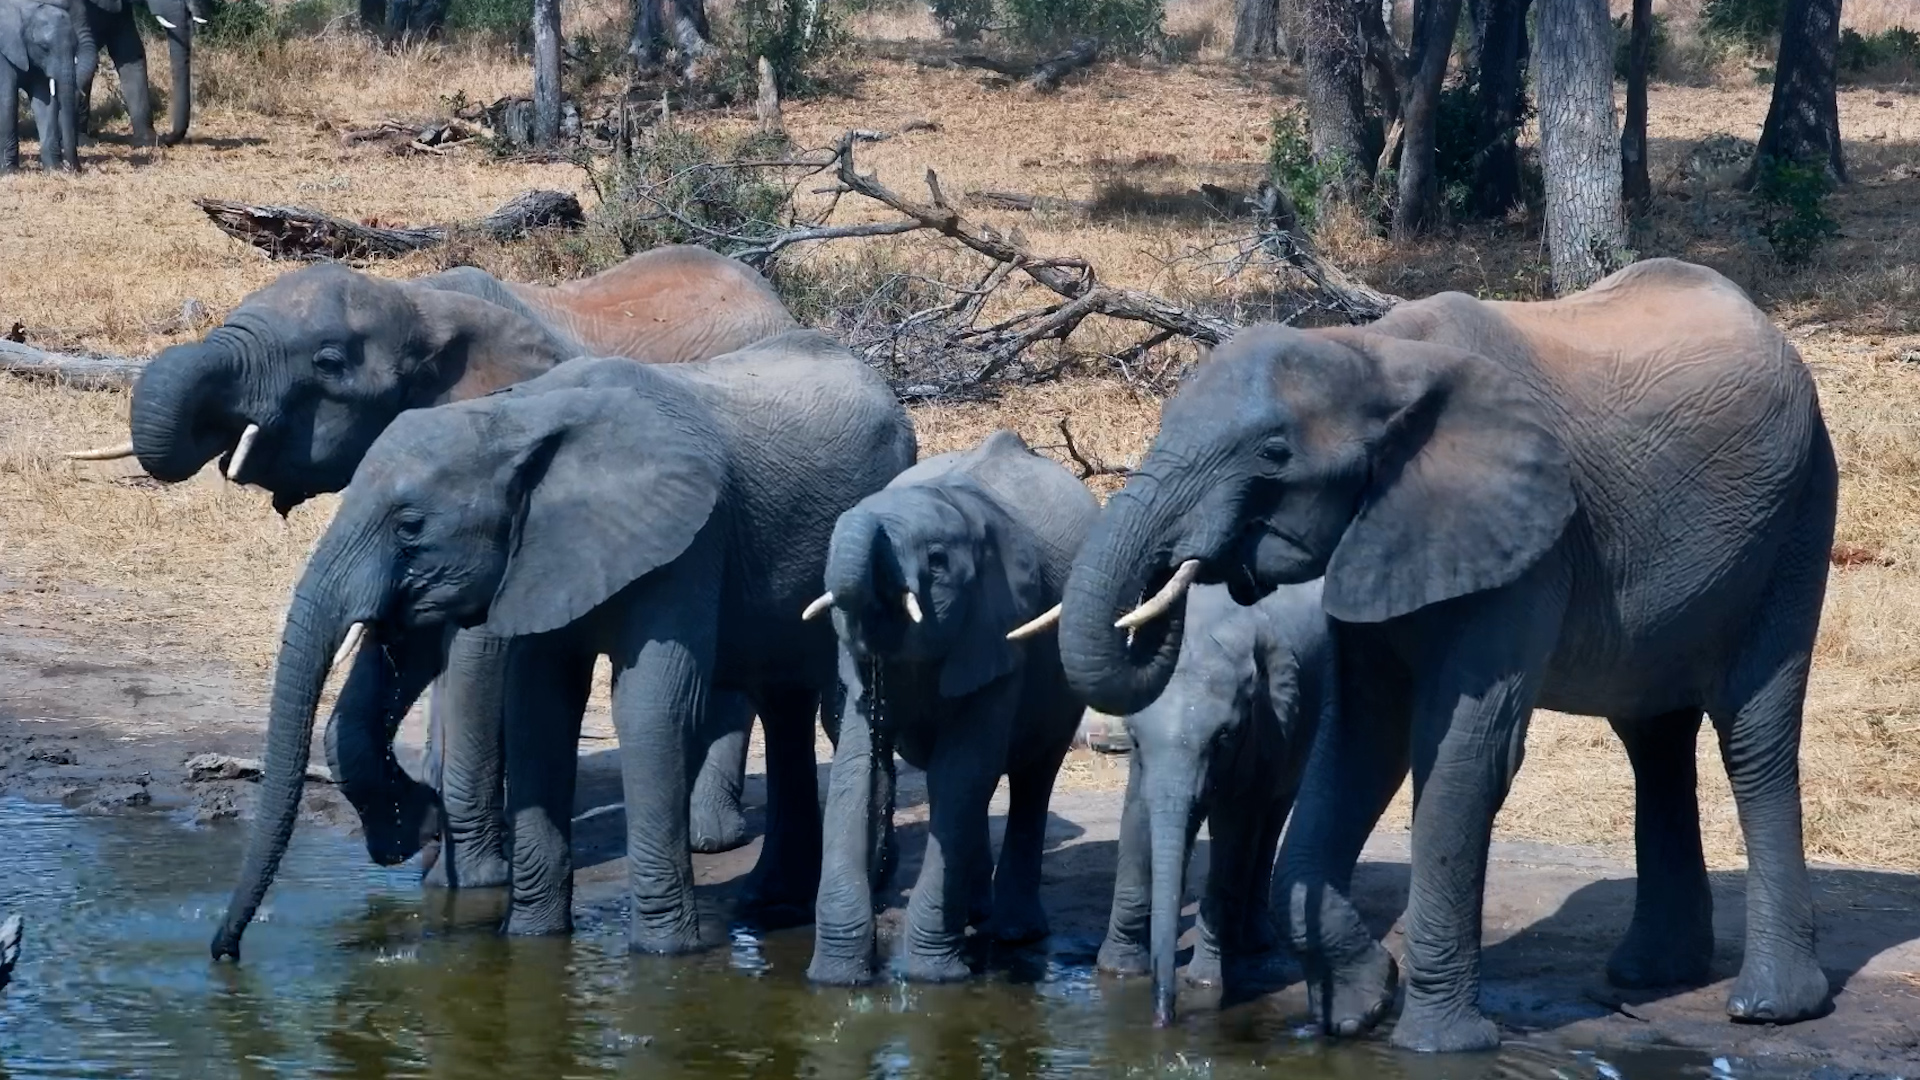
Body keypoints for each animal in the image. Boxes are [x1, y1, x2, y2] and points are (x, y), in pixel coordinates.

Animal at [1, 0, 78, 172]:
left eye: (76, 46)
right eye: (43, 47)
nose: (73, 168)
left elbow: (45, 101)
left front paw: (54, 169)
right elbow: (7, 99)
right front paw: (9, 171)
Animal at [67, 246, 800, 881]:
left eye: (328, 362)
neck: (418, 303)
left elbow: (476, 652)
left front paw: (467, 869)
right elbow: (405, 641)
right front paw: (418, 840)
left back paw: (710, 837)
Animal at [210, 333, 916, 961]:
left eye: (410, 528)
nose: (225, 950)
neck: (520, 420)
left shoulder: (690, 539)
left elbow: (652, 706)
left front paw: (663, 957)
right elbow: (538, 704)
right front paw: (529, 939)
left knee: (838, 707)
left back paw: (859, 882)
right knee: (785, 705)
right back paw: (772, 901)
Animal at [805, 430, 1097, 986]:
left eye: (937, 561)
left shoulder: (1001, 629)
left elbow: (960, 773)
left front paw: (931, 979)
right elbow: (858, 771)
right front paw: (835, 980)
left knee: (1031, 776)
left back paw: (1015, 932)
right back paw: (976, 913)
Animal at [1095, 581, 1334, 1027]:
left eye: (1224, 737)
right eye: (1133, 738)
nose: (1163, 1018)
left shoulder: (1265, 723)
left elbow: (1236, 832)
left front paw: (1205, 983)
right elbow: (1136, 818)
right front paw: (1119, 970)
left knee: (1271, 818)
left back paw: (1254, 940)